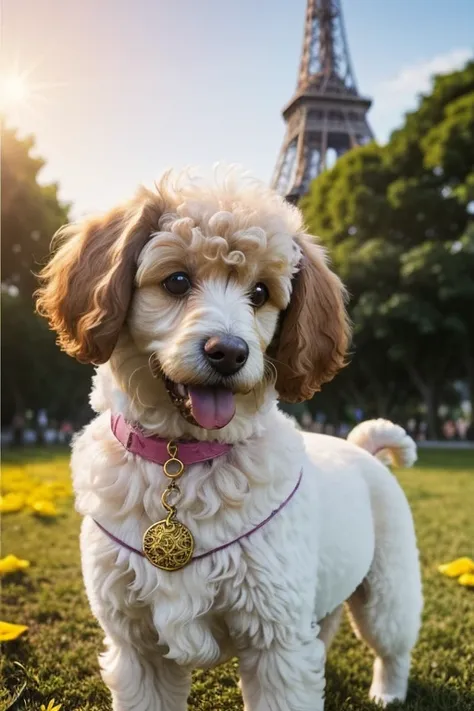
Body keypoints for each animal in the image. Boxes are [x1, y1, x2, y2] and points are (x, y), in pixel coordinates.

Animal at [37, 171, 422, 711]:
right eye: (177, 280)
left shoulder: (276, 640)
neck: (184, 460)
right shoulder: (136, 645)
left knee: (393, 646)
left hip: (388, 590)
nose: (230, 352)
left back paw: (388, 691)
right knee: (325, 628)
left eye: (260, 292)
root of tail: (363, 447)